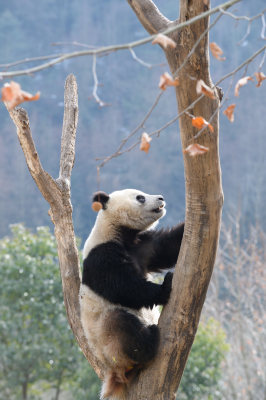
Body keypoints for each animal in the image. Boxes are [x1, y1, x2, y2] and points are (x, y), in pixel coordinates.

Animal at [79, 189, 183, 398]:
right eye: (140, 197)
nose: (161, 198)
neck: (117, 231)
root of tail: (114, 373)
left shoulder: (143, 246)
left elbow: (168, 247)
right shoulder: (101, 256)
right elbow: (124, 286)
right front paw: (164, 287)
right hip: (108, 340)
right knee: (122, 324)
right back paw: (150, 340)